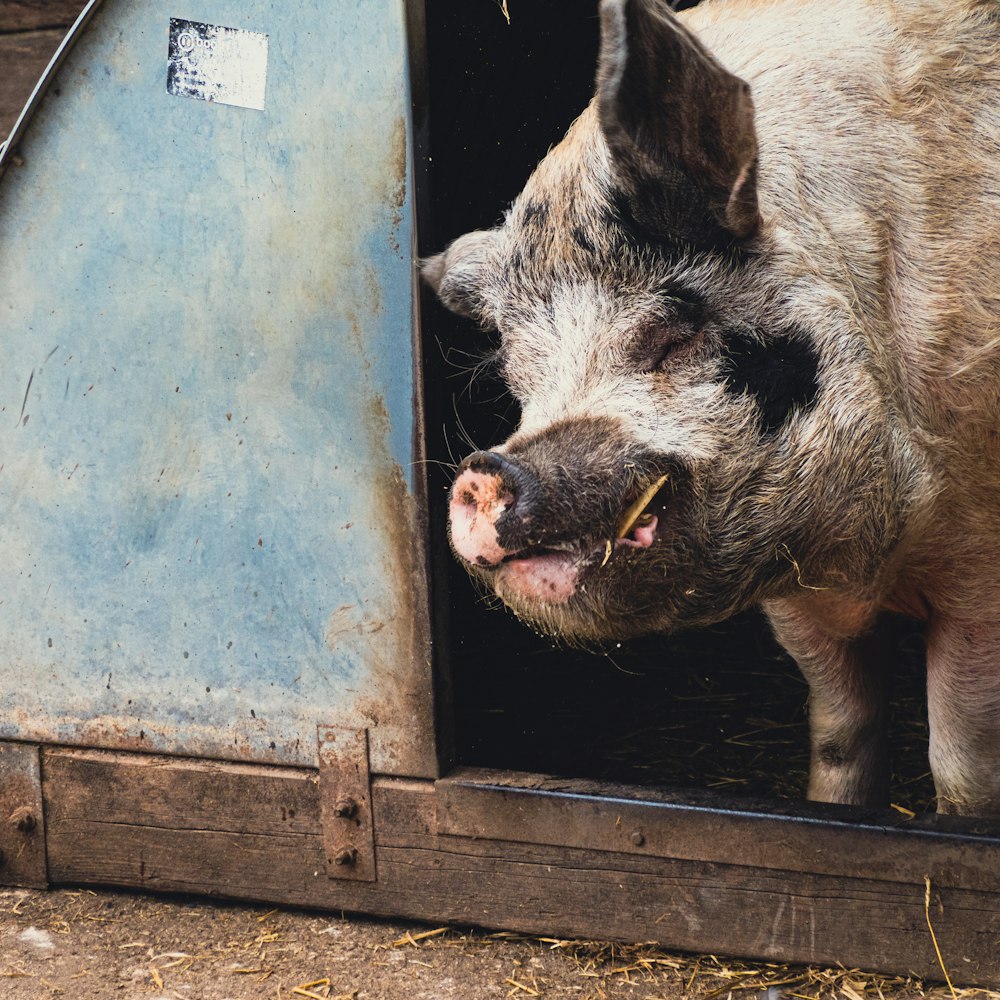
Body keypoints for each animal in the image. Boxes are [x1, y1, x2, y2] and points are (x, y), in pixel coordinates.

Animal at [426, 0, 1000, 812]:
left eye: (674, 333)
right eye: (516, 371)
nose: (486, 474)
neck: (866, 560)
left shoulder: (982, 566)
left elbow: (964, 767)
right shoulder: (793, 592)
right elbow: (838, 732)